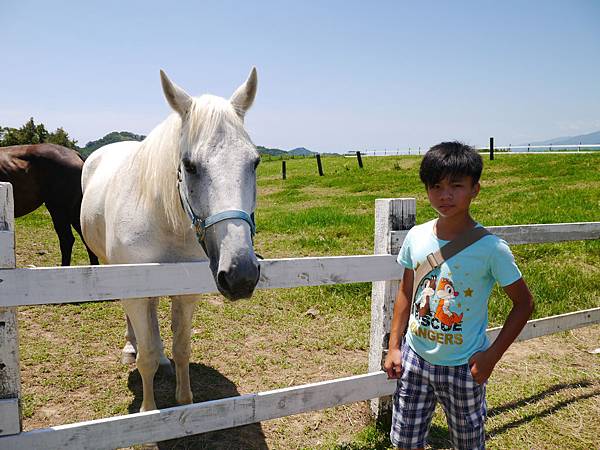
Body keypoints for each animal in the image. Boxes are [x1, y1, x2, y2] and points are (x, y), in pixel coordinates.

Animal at [79, 68, 260, 414]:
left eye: (254, 162)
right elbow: (146, 357)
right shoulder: (134, 290)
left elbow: (182, 349)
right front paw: (149, 412)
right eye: (189, 165)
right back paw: (130, 346)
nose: (241, 275)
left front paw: (184, 402)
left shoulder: (186, 292)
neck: (164, 218)